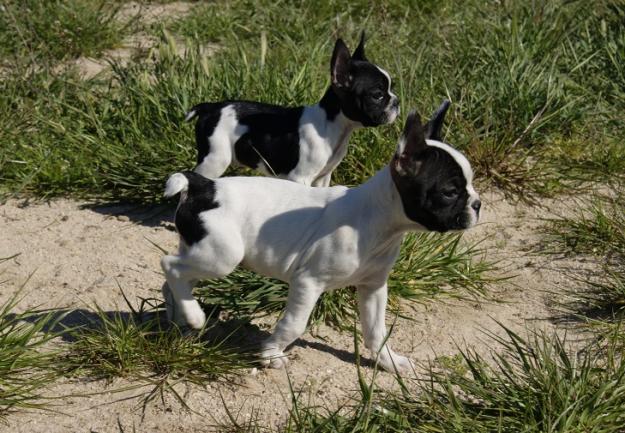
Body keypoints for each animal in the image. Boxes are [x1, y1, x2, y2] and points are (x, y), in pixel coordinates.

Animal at [161, 100, 478, 372]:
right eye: (450, 192)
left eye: (471, 185)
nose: (477, 204)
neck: (376, 222)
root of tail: (203, 186)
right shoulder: (308, 282)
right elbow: (293, 324)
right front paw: (271, 354)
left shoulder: (373, 287)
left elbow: (376, 330)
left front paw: (388, 361)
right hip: (222, 257)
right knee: (170, 266)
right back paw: (194, 316)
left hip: (202, 251)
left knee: (176, 279)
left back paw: (180, 320)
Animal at [184, 33, 394, 186]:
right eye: (377, 95)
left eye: (390, 88)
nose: (396, 101)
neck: (331, 126)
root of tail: (211, 107)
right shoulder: (300, 178)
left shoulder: (322, 178)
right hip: (214, 160)